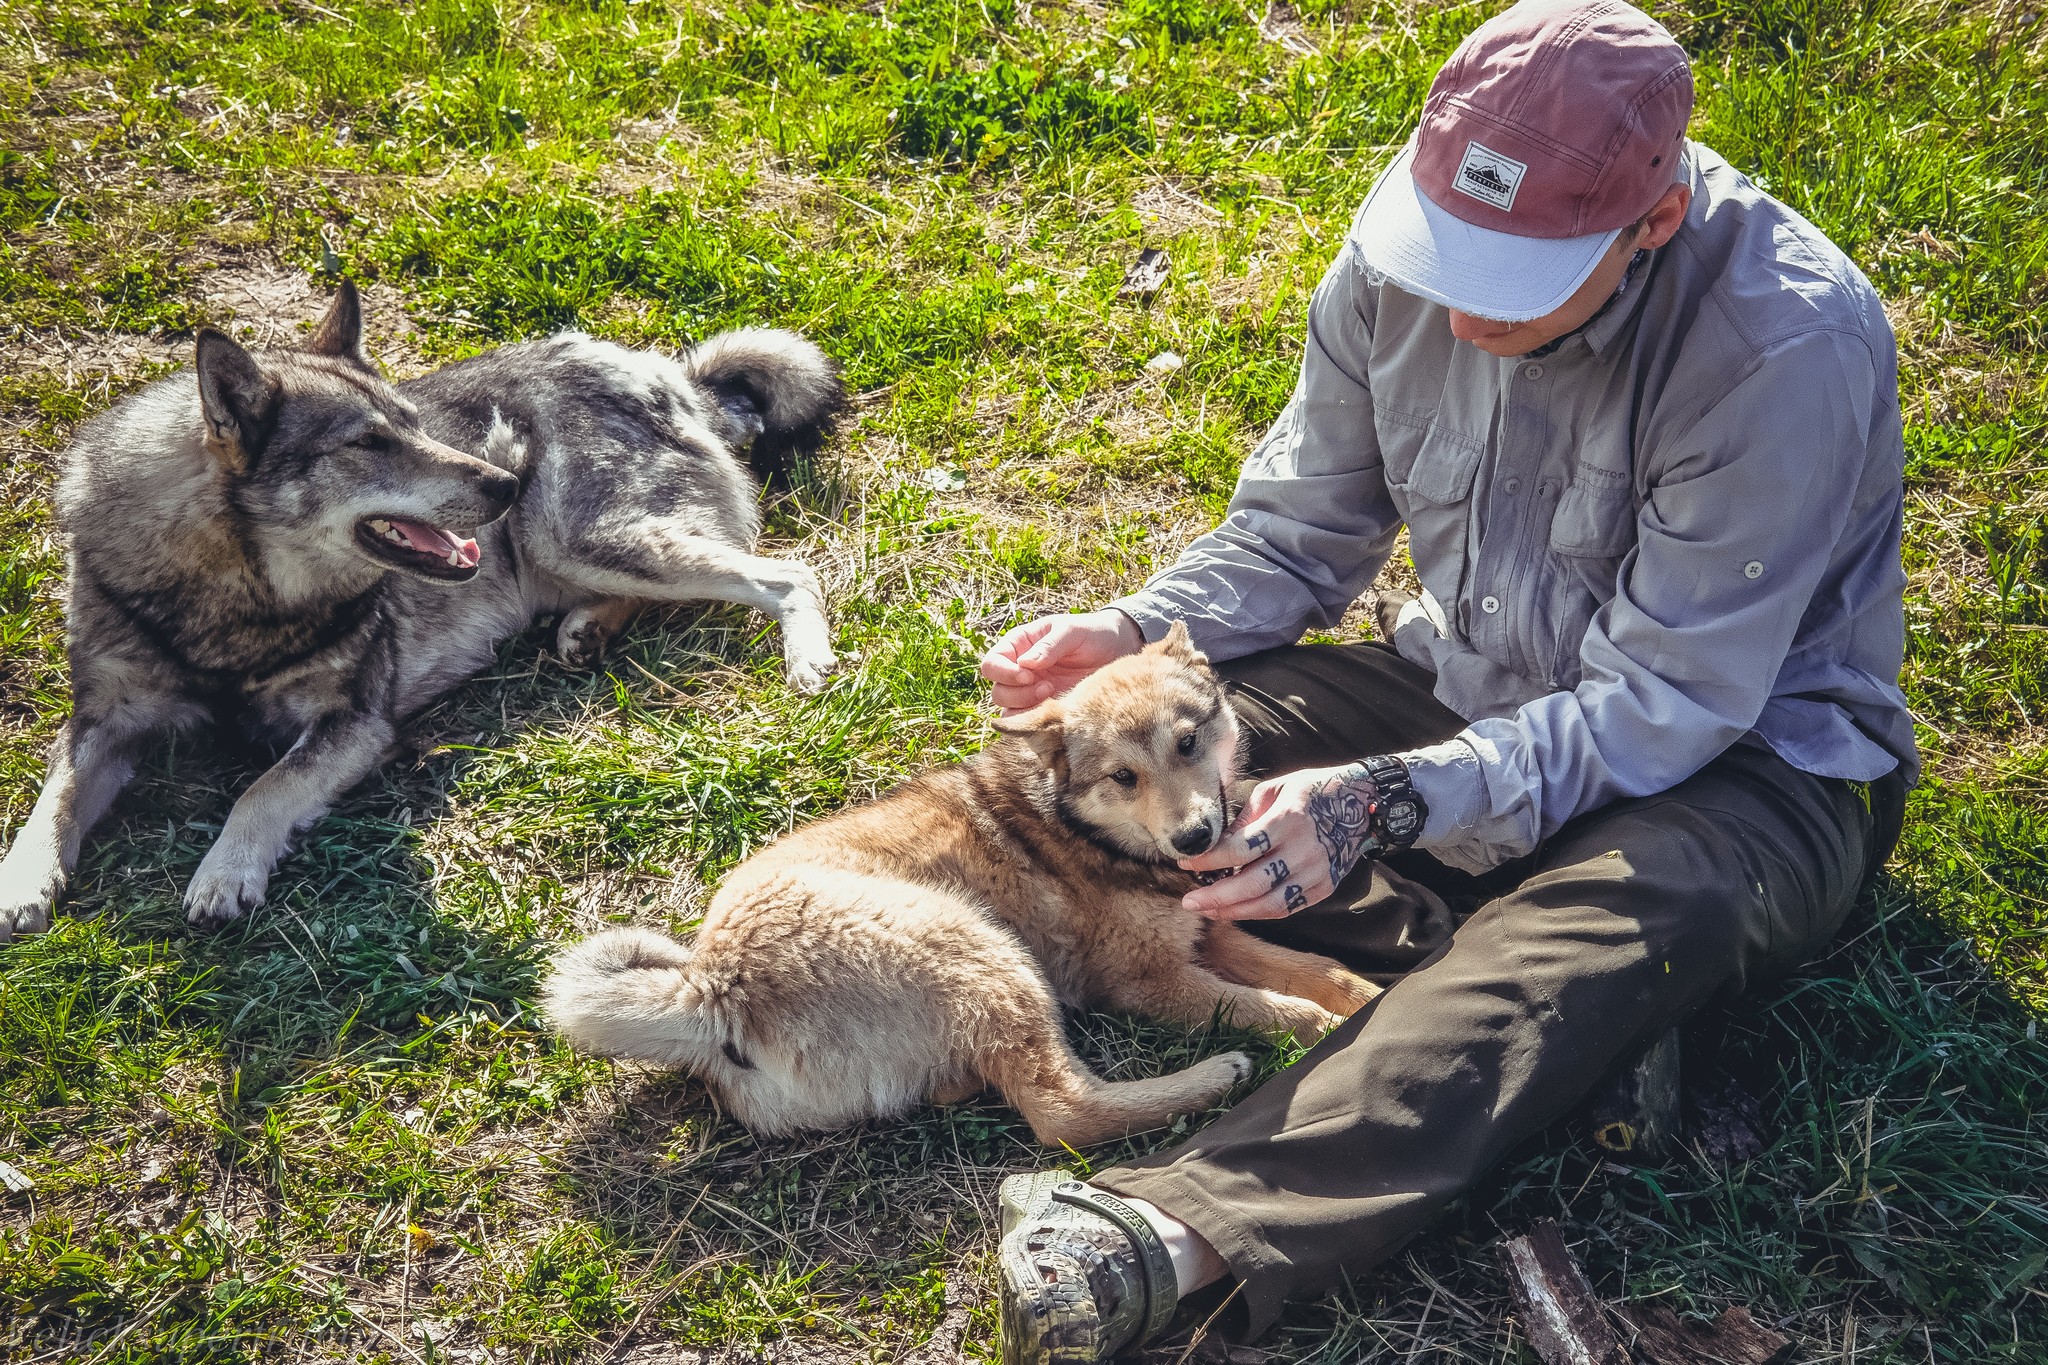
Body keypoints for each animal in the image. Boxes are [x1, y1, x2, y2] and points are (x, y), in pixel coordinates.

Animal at [0, 282, 843, 945]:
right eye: (370, 443)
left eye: (413, 421)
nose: (502, 482)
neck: (234, 596)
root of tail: (671, 373)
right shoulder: (106, 719)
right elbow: (55, 798)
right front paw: (21, 883)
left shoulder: (354, 721)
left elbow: (262, 786)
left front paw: (225, 869)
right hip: (572, 546)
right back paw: (588, 628)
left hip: (577, 534)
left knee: (782, 572)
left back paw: (806, 658)